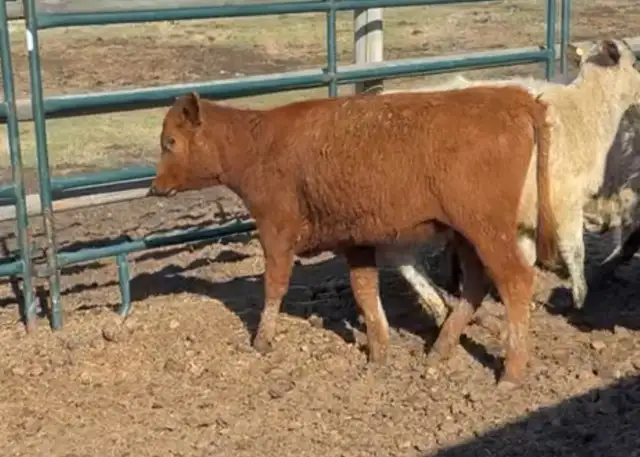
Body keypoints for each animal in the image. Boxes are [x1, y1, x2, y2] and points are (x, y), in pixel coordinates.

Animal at [148, 84, 555, 388]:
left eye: (170, 142)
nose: (154, 188)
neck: (259, 145)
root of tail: (511, 97)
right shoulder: (356, 240)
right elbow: (364, 291)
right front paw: (379, 350)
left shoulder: (276, 230)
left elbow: (274, 286)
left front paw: (262, 340)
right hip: (467, 234)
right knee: (475, 283)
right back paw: (441, 347)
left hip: (487, 229)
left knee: (515, 281)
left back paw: (511, 372)